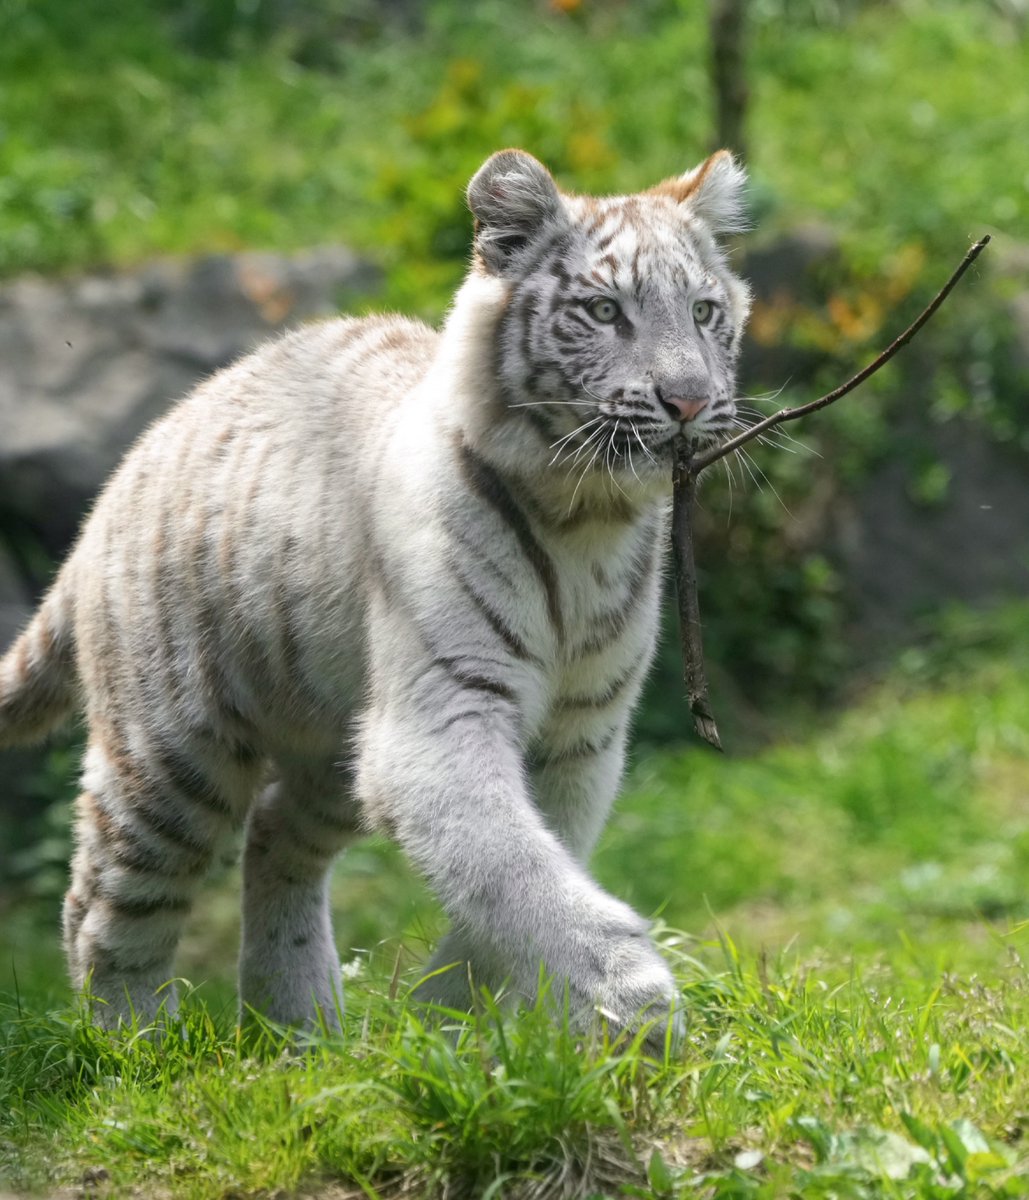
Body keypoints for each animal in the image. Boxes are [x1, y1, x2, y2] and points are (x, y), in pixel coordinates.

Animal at [0, 147, 743, 1041]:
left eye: (703, 312)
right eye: (603, 311)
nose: (688, 400)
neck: (587, 517)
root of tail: (120, 480)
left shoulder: (580, 735)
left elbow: (521, 865)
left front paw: (448, 1016)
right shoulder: (439, 718)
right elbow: (512, 863)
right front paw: (632, 998)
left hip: (333, 745)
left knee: (274, 834)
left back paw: (299, 1026)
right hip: (172, 753)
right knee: (105, 901)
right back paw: (133, 1044)